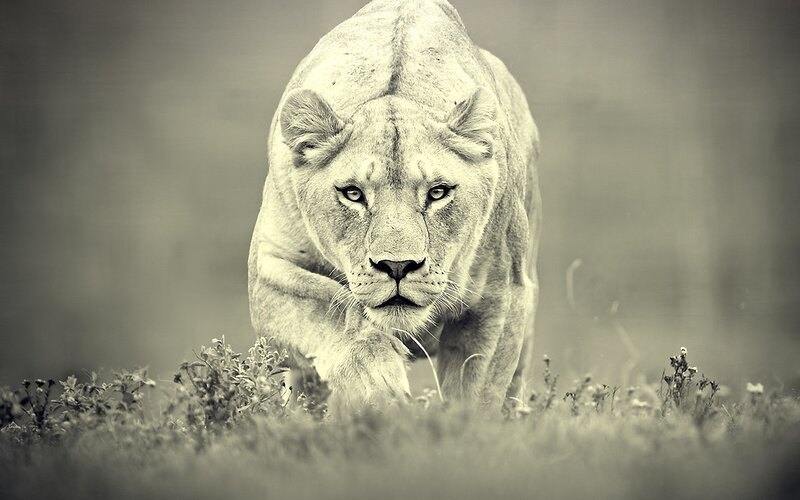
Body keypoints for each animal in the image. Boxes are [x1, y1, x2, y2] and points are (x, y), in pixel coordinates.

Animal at [248, 0, 540, 411]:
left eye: (437, 192)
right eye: (353, 194)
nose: (398, 266)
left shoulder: (501, 296)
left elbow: (474, 396)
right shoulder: (268, 269)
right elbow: (333, 307)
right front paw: (379, 385)